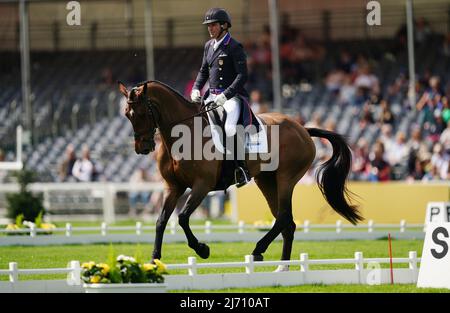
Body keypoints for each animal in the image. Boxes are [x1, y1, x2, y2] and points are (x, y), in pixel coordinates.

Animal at [118, 80, 364, 264]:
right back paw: (283, 266)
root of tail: (302, 128)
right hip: (267, 181)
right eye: (127, 114)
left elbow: (183, 217)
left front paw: (202, 249)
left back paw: (258, 250)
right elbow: (161, 221)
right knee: (287, 223)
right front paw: (154, 260)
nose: (142, 148)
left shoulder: (202, 185)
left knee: (284, 217)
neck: (182, 135)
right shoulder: (173, 187)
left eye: (142, 113)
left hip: (286, 178)